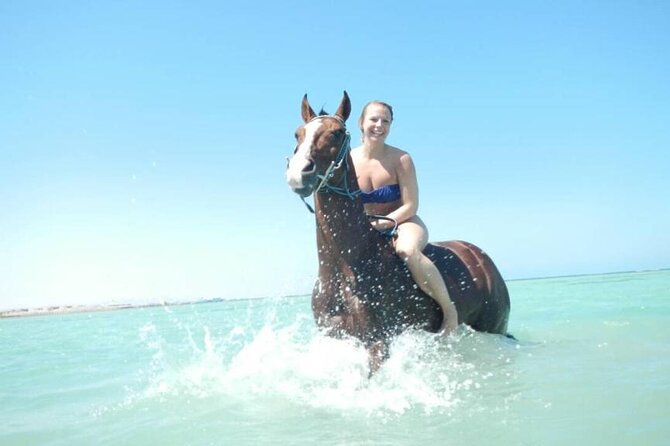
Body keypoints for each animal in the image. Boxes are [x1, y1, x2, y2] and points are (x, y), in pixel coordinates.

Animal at [285, 91, 511, 373]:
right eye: (298, 134)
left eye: (336, 133)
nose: (298, 173)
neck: (347, 266)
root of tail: (480, 257)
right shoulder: (335, 339)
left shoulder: (379, 344)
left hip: (495, 329)